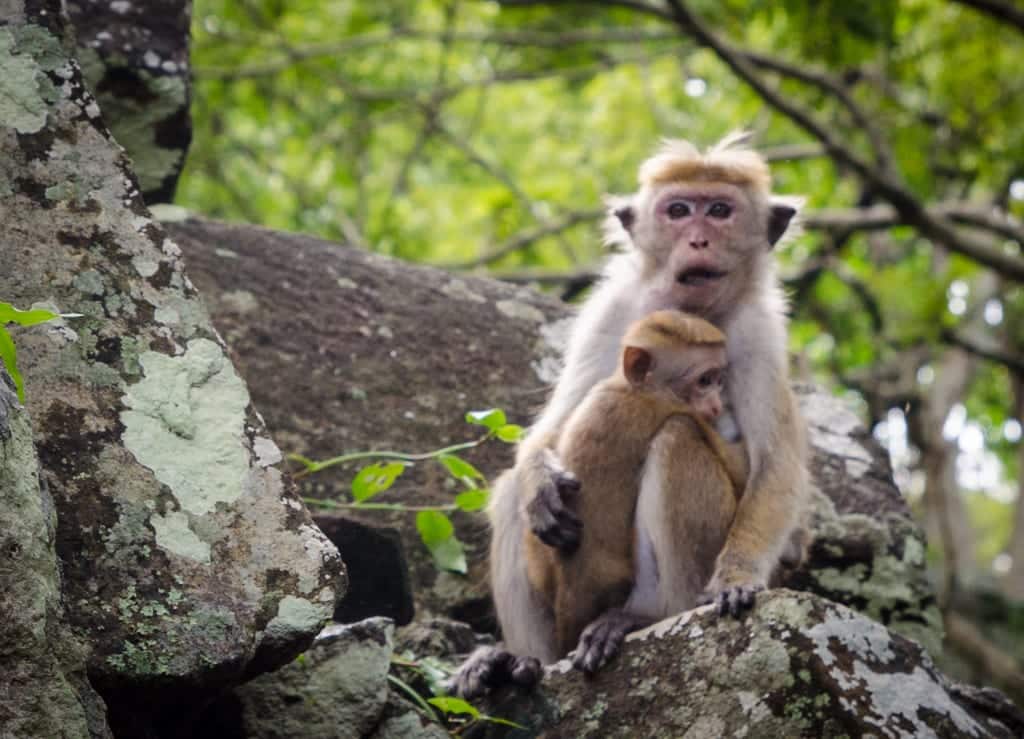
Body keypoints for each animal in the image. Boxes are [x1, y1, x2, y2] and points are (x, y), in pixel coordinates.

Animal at [524, 307, 741, 659]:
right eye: (705, 380)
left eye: (718, 379)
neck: (630, 387)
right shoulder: (654, 406)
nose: (717, 406)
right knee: (677, 434)